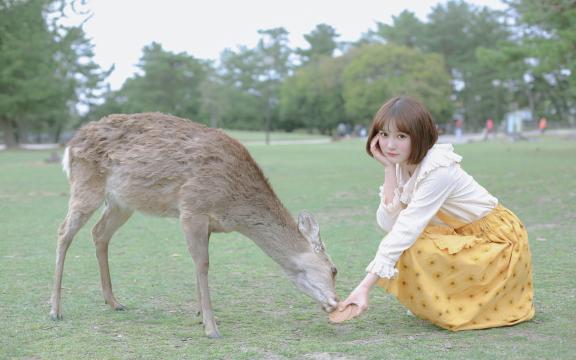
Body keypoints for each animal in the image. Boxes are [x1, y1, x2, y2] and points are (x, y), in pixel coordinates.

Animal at [50, 112, 338, 338]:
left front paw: (201, 315)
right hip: (86, 185)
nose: (336, 303)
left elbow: (198, 264)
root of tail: (70, 145)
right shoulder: (192, 209)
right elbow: (203, 264)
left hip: (122, 203)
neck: (234, 206)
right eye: (334, 270)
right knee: (64, 231)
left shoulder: (208, 222)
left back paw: (114, 302)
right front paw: (211, 327)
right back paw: (55, 310)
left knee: (99, 233)